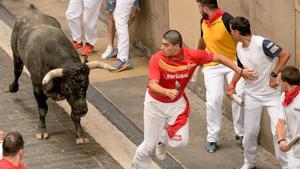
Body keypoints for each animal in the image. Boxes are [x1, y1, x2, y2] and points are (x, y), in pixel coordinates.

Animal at [9, 4, 115, 144]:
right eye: (68, 88)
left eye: (86, 85)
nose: (82, 111)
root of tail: (31, 10)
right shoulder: (37, 87)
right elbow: (42, 110)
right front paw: (41, 131)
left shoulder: (75, 100)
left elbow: (74, 116)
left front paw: (80, 134)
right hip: (16, 55)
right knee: (17, 71)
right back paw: (13, 87)